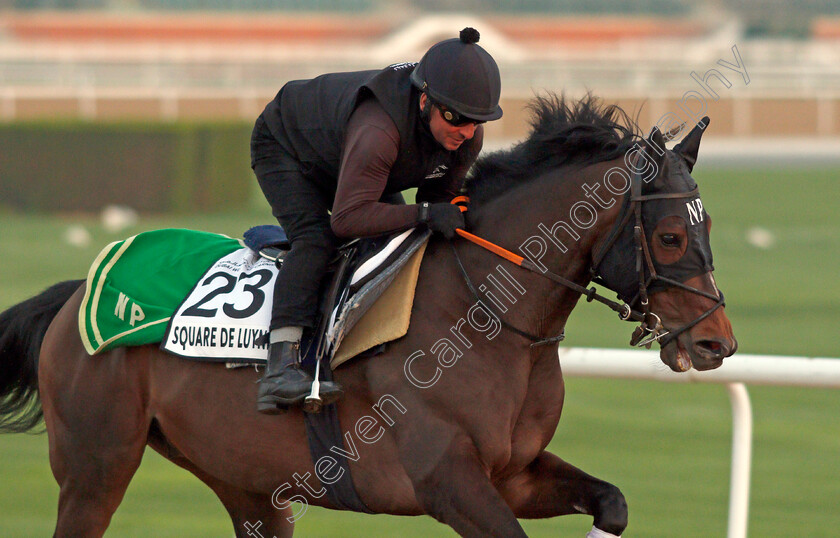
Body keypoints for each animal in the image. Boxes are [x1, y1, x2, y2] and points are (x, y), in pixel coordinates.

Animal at [0, 94, 736, 532]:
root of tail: (77, 294)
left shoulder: (514, 474)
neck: (484, 316)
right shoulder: (446, 480)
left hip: (246, 482)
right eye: (672, 236)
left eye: (710, 227)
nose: (716, 344)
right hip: (95, 465)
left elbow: (613, 502)